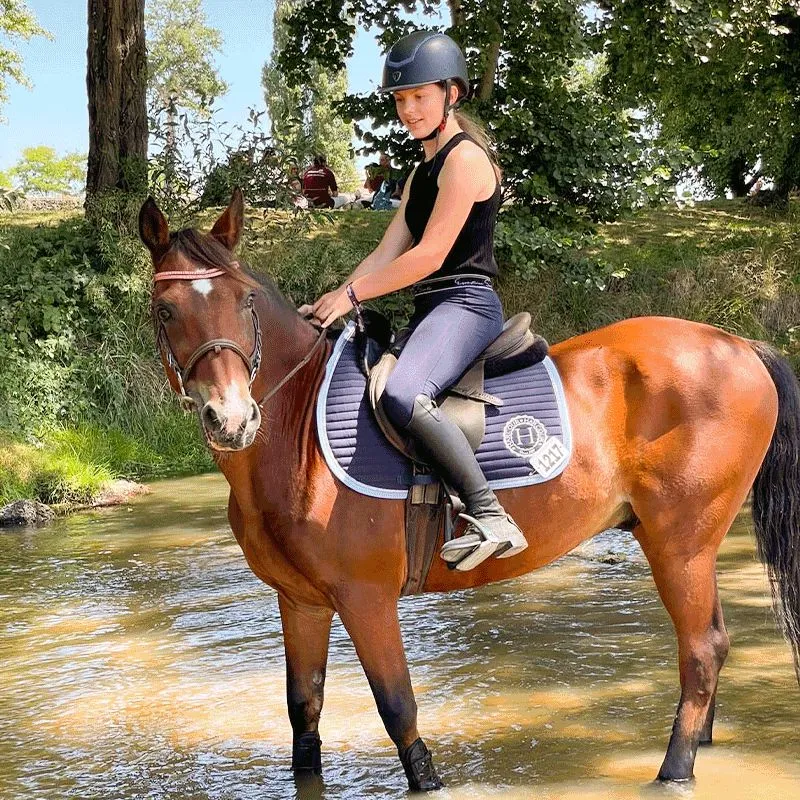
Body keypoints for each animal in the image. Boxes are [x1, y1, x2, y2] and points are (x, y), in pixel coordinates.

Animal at [141, 189, 800, 792]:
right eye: (165, 310)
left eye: (245, 300)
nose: (231, 419)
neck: (297, 434)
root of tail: (738, 345)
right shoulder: (300, 602)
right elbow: (304, 712)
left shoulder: (365, 599)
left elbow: (398, 710)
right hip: (687, 547)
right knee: (711, 644)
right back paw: (700, 743)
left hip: (680, 545)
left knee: (702, 648)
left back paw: (676, 768)